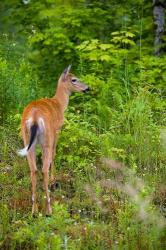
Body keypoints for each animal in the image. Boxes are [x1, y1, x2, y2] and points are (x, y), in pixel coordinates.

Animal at [17, 65, 89, 215]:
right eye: (74, 79)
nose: (87, 88)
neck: (59, 104)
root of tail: (34, 118)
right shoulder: (57, 130)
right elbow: (55, 155)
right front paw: (53, 179)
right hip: (47, 139)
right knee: (43, 168)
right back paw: (49, 209)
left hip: (27, 140)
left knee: (33, 169)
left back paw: (34, 210)